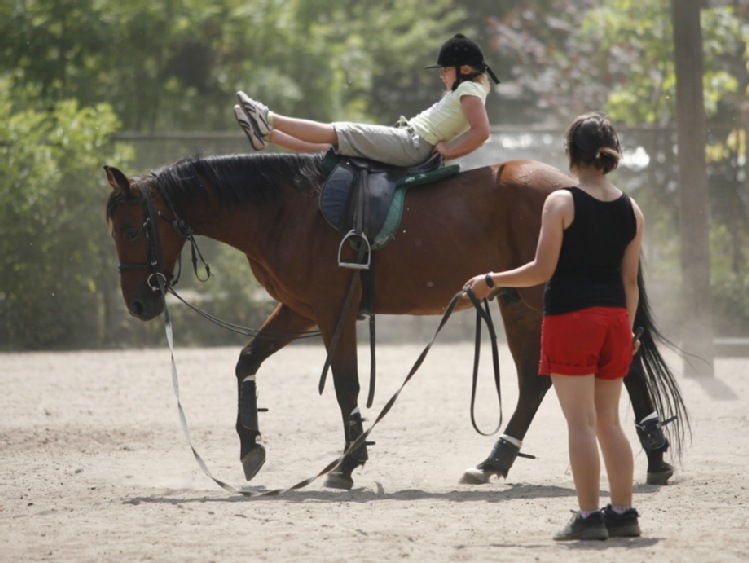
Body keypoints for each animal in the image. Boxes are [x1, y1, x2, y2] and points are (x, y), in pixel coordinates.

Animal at [103, 153, 684, 490]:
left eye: (132, 230)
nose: (138, 305)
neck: (286, 209)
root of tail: (579, 188)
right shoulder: (298, 310)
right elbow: (247, 360)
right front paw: (250, 443)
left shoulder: (332, 312)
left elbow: (345, 385)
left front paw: (346, 464)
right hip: (518, 300)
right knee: (533, 381)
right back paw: (494, 461)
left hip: (544, 298)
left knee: (621, 363)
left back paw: (655, 456)